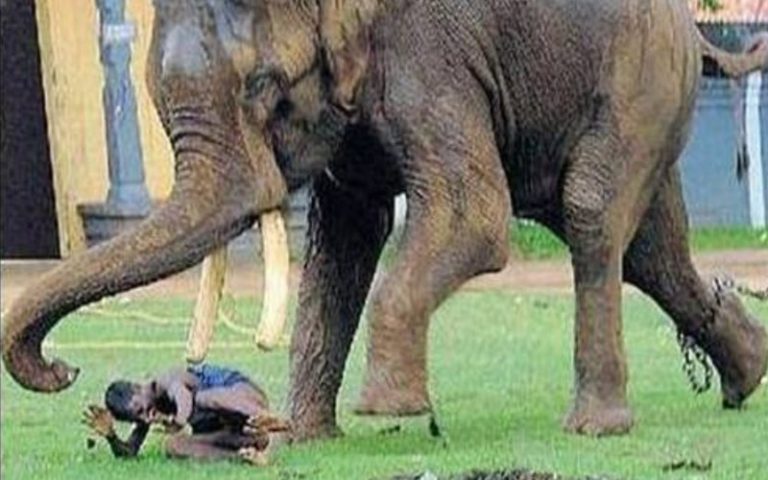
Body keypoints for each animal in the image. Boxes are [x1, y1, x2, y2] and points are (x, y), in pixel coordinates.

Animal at [3, 0, 768, 443]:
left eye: (263, 88)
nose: (65, 368)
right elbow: (346, 239)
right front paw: (297, 438)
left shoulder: (425, 57)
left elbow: (474, 217)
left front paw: (388, 411)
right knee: (652, 253)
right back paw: (745, 376)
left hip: (639, 77)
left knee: (591, 214)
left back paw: (596, 428)